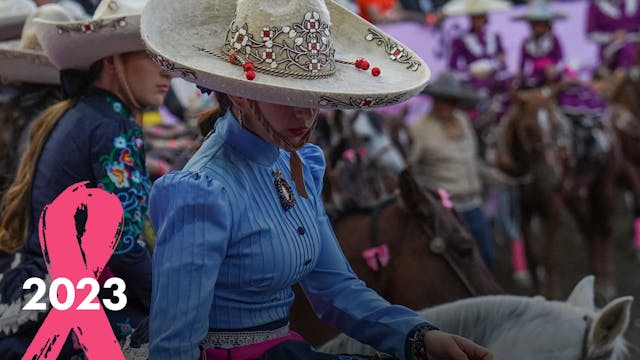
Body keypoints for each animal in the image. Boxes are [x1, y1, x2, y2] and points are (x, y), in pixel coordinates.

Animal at [496, 86, 632, 298]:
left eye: (555, 126)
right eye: (527, 128)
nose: (550, 175)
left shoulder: (552, 209)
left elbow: (550, 257)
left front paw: (552, 296)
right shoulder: (524, 210)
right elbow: (532, 257)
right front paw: (536, 293)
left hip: (603, 186)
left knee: (605, 229)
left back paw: (605, 281)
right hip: (573, 196)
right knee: (588, 229)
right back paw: (594, 275)